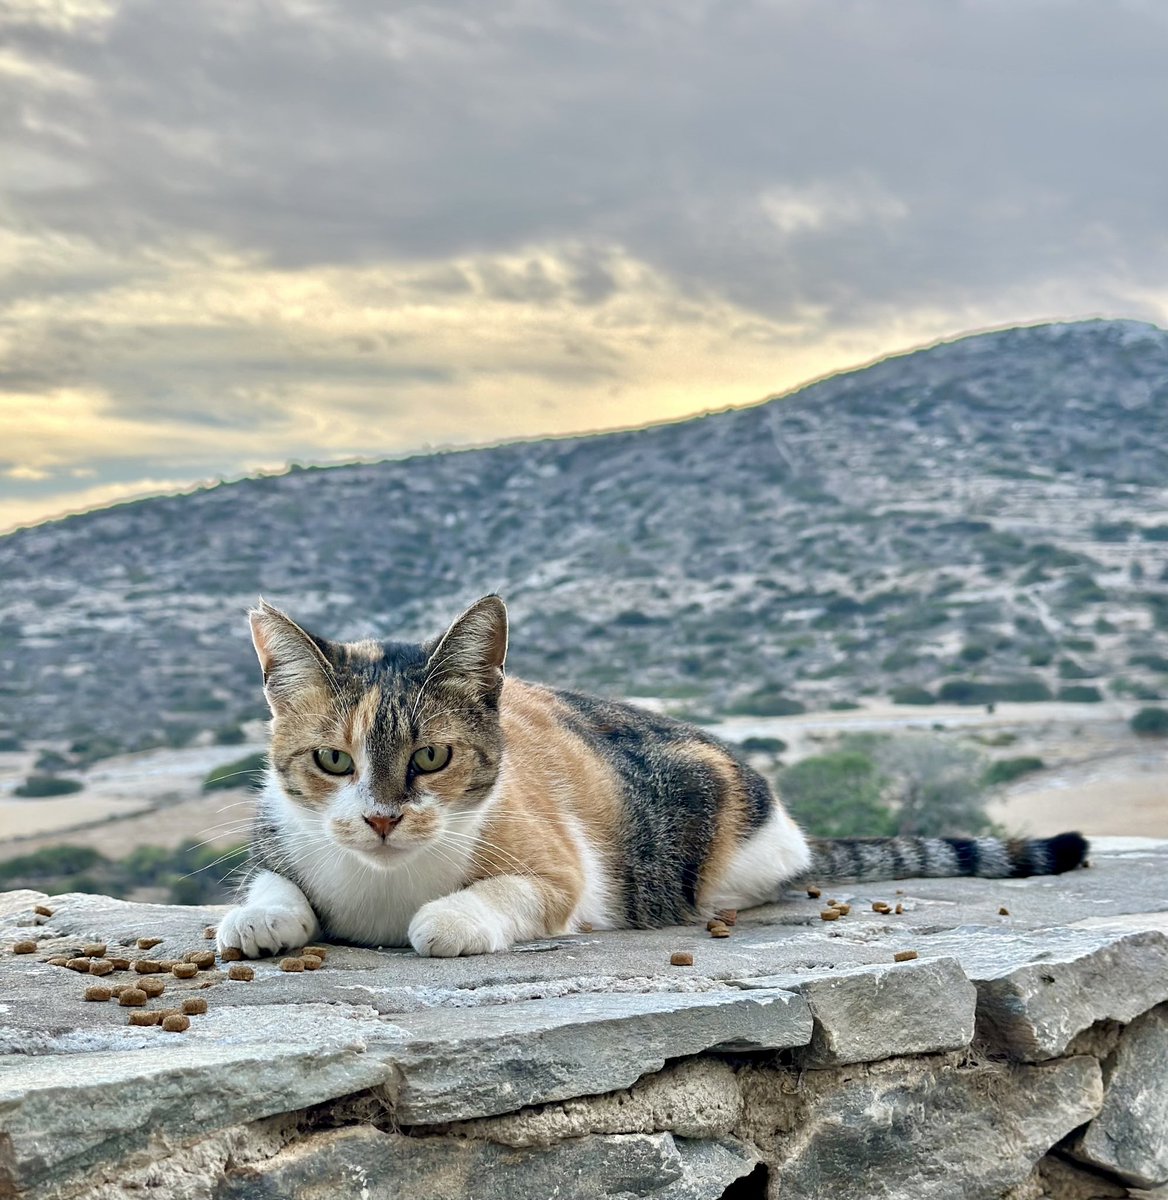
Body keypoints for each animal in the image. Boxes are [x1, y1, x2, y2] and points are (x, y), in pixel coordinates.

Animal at [216, 595, 1085, 960]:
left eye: (431, 757)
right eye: (334, 760)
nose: (383, 818)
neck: (382, 888)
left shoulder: (562, 870)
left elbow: (503, 897)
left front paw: (447, 919)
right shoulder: (273, 830)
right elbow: (272, 880)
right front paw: (260, 919)